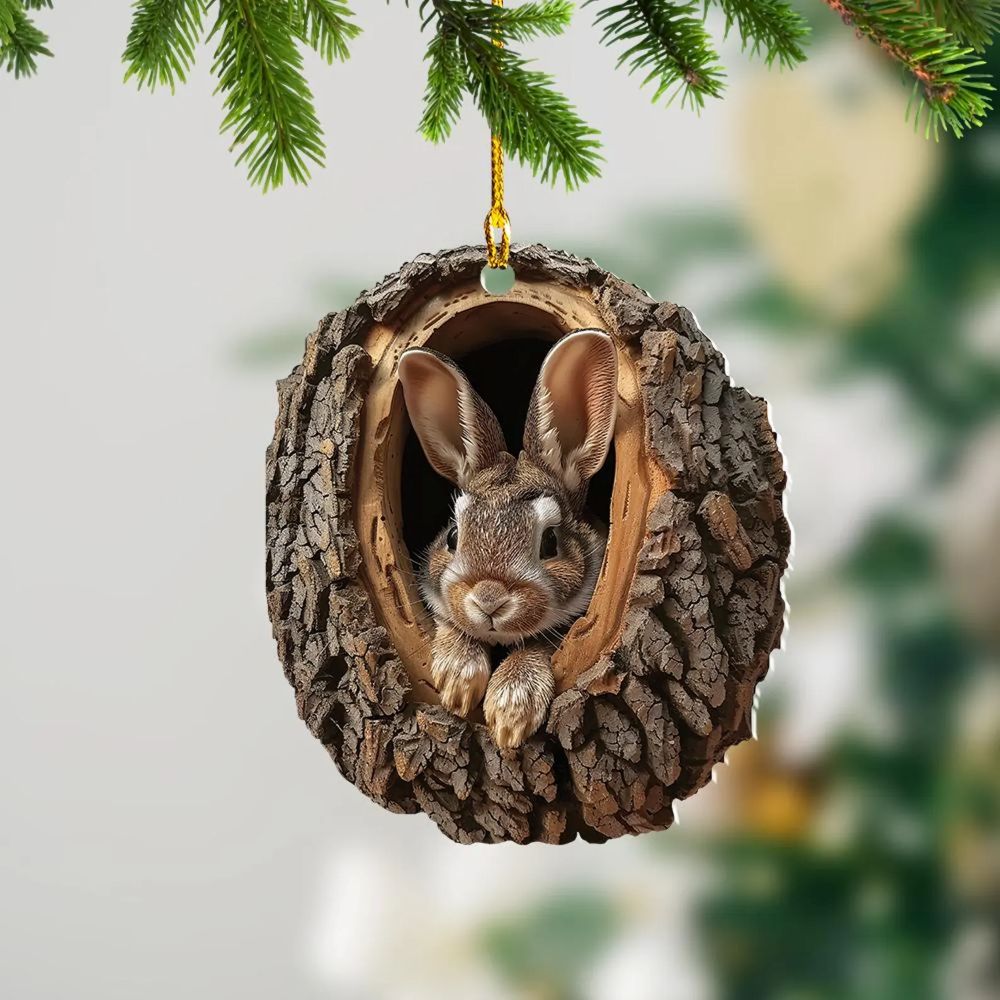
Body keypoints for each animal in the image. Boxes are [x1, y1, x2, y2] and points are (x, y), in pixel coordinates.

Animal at [397, 329, 618, 749]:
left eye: (550, 543)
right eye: (452, 536)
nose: (489, 600)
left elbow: (541, 643)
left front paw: (510, 714)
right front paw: (458, 681)